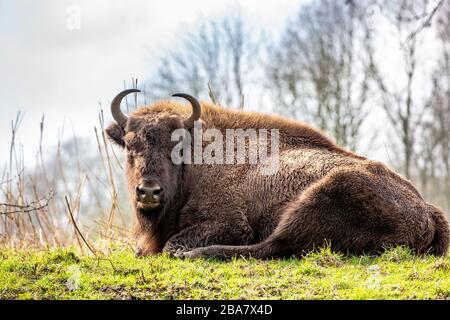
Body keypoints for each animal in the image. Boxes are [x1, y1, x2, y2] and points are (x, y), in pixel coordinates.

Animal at [106, 89, 450, 258]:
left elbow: (170, 245)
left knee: (273, 246)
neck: (198, 162)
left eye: (176, 147)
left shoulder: (229, 223)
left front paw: (180, 250)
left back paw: (194, 254)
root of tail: (428, 211)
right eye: (130, 145)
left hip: (320, 197)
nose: (148, 192)